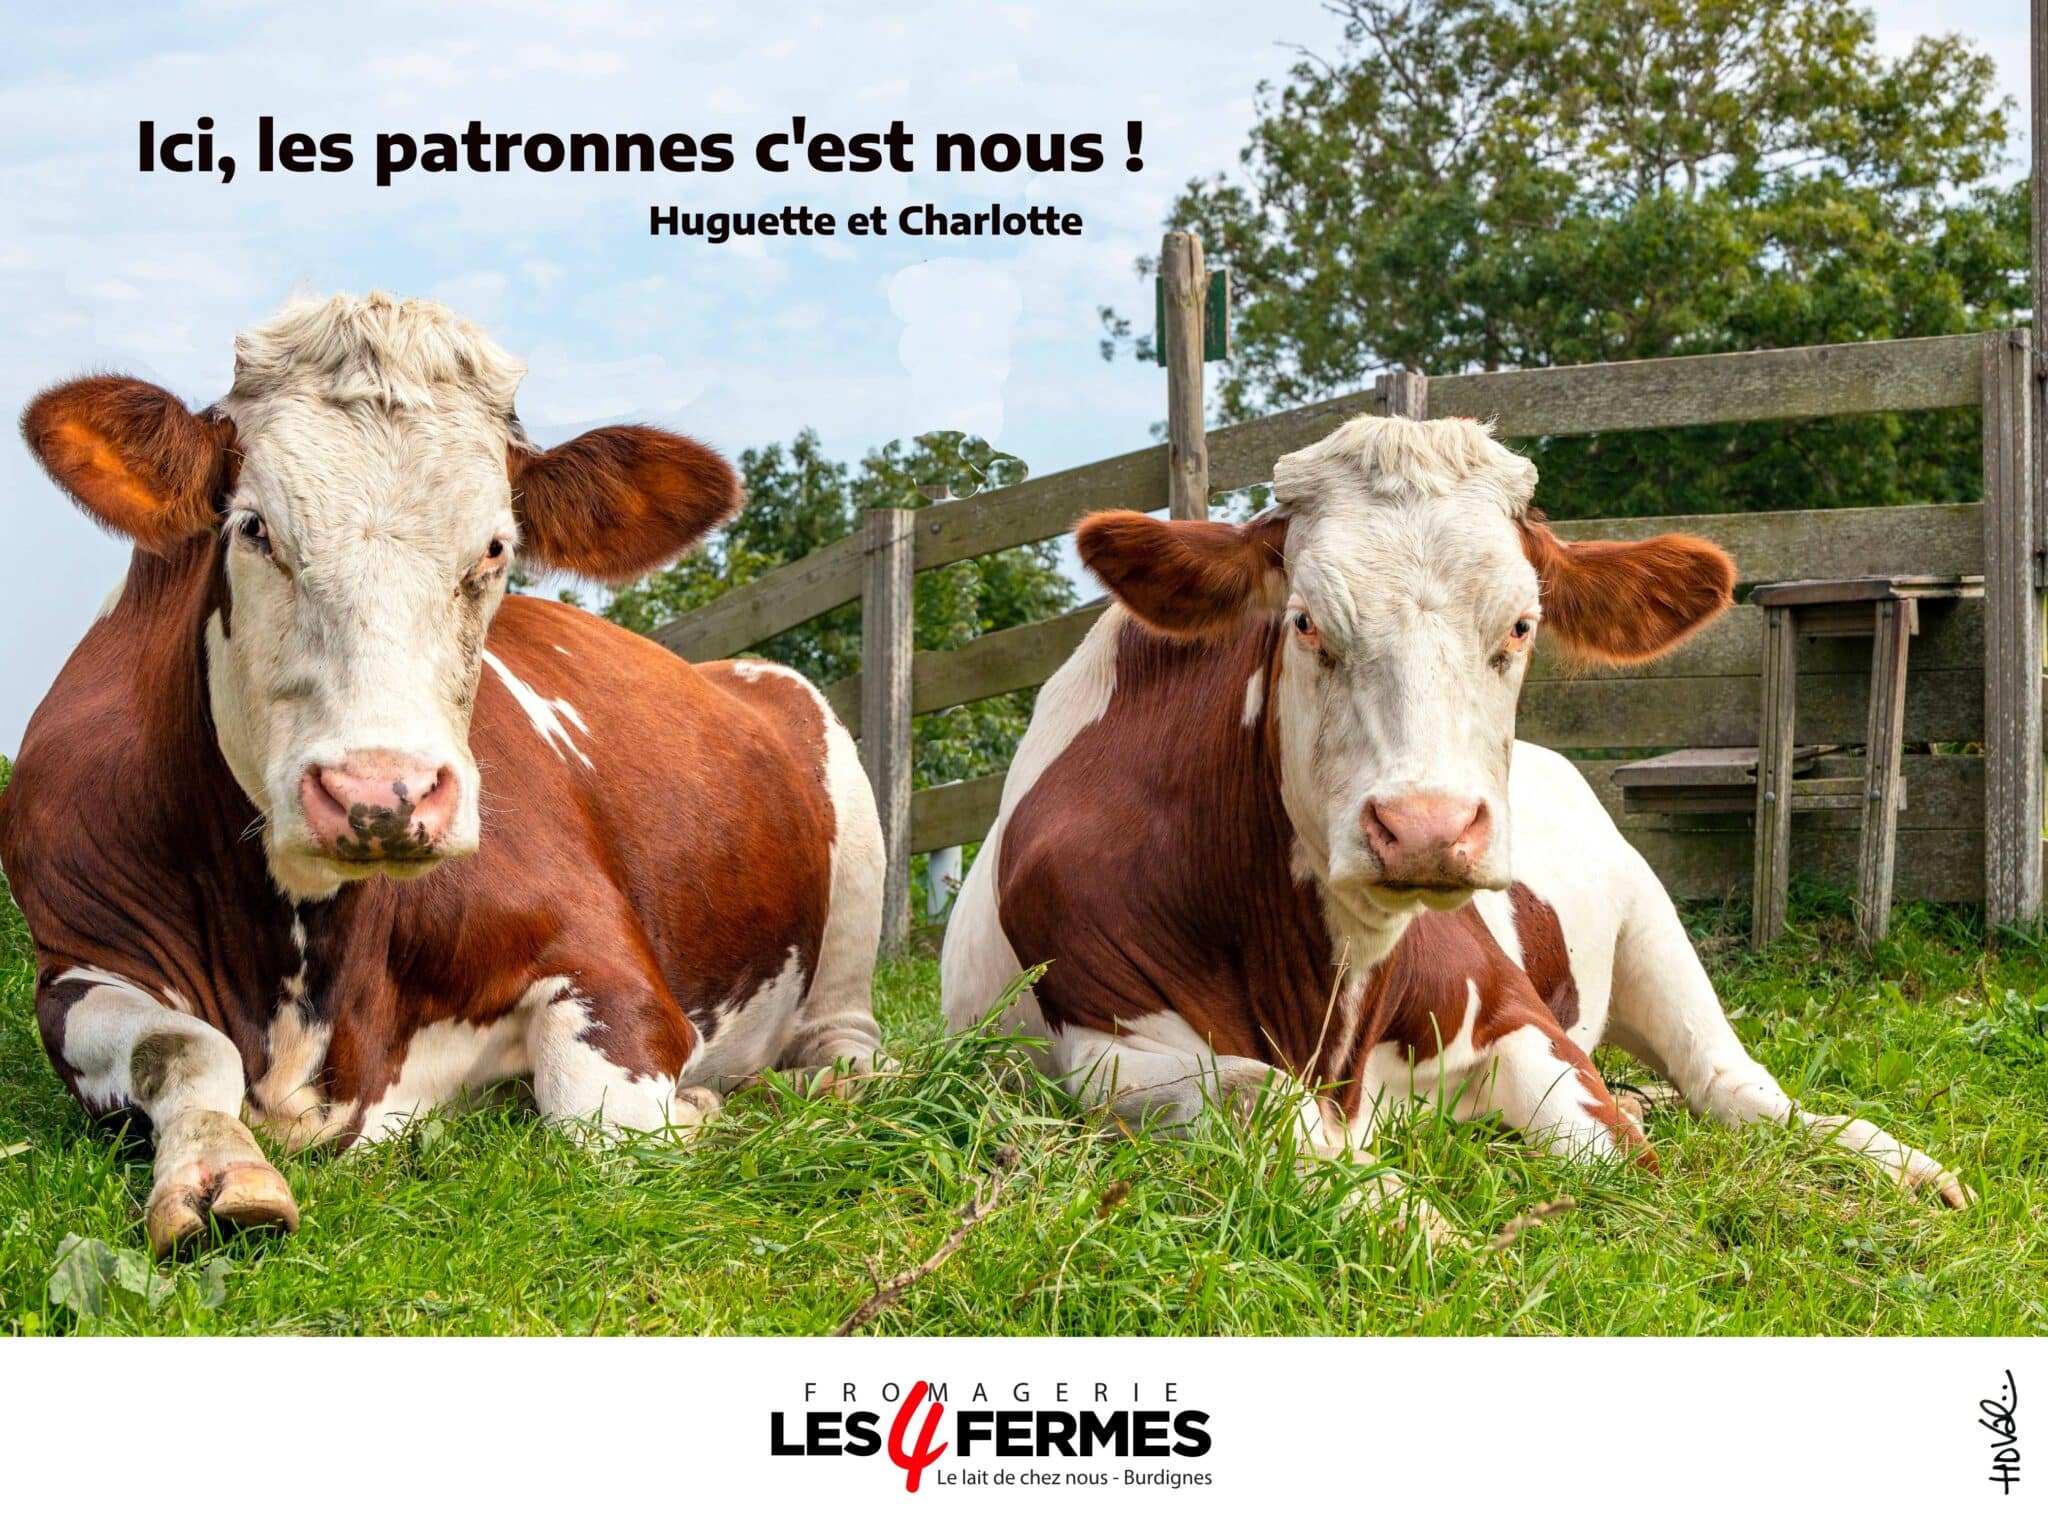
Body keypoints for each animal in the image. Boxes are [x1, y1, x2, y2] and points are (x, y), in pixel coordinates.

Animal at [1, 293, 885, 1256]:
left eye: (496, 547)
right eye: (254, 527)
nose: (378, 795)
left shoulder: (616, 974)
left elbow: (600, 1136)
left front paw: (695, 1109)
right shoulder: (76, 960)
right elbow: (185, 1047)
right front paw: (216, 1171)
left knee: (850, 1043)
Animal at [941, 413, 1970, 1233]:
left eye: (1521, 624)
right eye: (1306, 622)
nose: (1427, 827)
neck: (1330, 1004)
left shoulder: (1519, 1014)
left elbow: (1614, 1152)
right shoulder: (1097, 1050)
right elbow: (1260, 1099)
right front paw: (1408, 1213)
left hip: (1652, 925)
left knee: (1733, 1085)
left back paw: (1894, 1163)